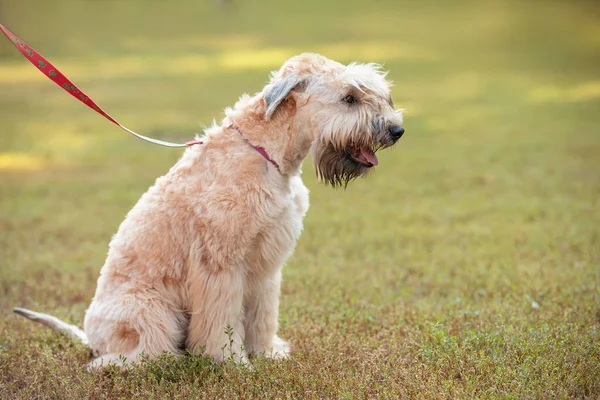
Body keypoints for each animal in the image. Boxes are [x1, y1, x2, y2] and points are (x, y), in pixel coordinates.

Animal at [14, 52, 406, 368]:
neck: (267, 153)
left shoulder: (265, 264)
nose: (396, 130)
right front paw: (231, 361)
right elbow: (222, 320)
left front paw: (266, 353)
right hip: (150, 311)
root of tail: (90, 334)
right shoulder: (220, 264)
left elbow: (262, 314)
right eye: (349, 98)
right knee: (137, 354)